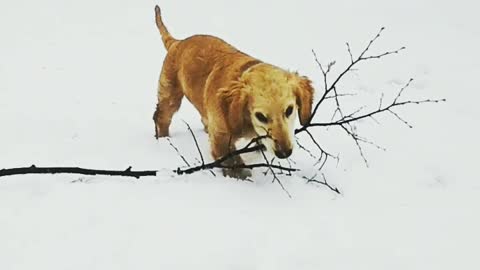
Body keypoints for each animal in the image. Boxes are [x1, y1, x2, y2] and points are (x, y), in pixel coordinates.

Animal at [152, 4, 314, 177]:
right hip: (170, 95)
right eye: (260, 116)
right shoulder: (221, 139)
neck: (244, 118)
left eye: (290, 110)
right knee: (161, 117)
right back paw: (163, 140)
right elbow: (235, 165)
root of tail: (177, 42)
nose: (284, 153)